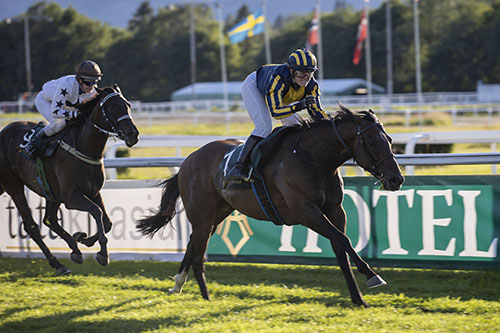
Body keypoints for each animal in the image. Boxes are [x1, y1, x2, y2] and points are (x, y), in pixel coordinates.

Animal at [0, 84, 139, 274]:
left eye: (128, 105)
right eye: (111, 107)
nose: (133, 134)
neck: (83, 147)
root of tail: (3, 132)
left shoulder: (93, 191)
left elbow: (107, 221)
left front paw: (83, 238)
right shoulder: (71, 197)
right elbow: (96, 211)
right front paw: (102, 253)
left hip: (50, 193)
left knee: (49, 220)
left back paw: (74, 250)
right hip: (13, 185)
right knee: (32, 225)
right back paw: (57, 263)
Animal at [137, 105, 402, 306]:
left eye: (389, 140)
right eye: (372, 142)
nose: (396, 179)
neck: (312, 158)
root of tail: (187, 161)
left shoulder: (336, 210)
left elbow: (341, 248)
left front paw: (358, 298)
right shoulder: (305, 211)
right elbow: (343, 239)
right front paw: (373, 275)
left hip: (218, 213)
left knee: (193, 243)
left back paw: (178, 285)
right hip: (202, 214)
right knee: (198, 254)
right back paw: (205, 297)